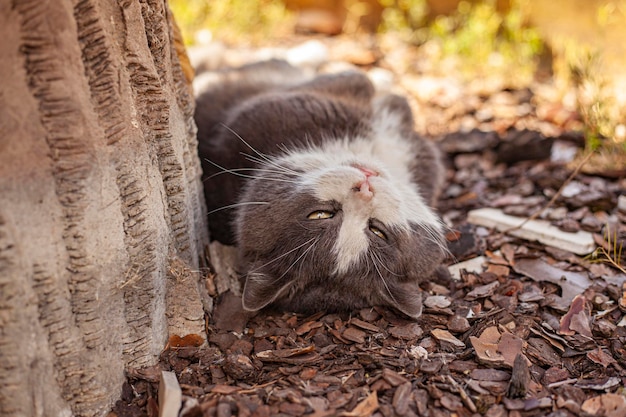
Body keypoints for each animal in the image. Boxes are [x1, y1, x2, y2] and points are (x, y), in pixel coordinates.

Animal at [194, 59, 444, 318]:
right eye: (321, 214)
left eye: (377, 231)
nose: (364, 190)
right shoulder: (272, 110)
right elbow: (356, 80)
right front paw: (391, 98)